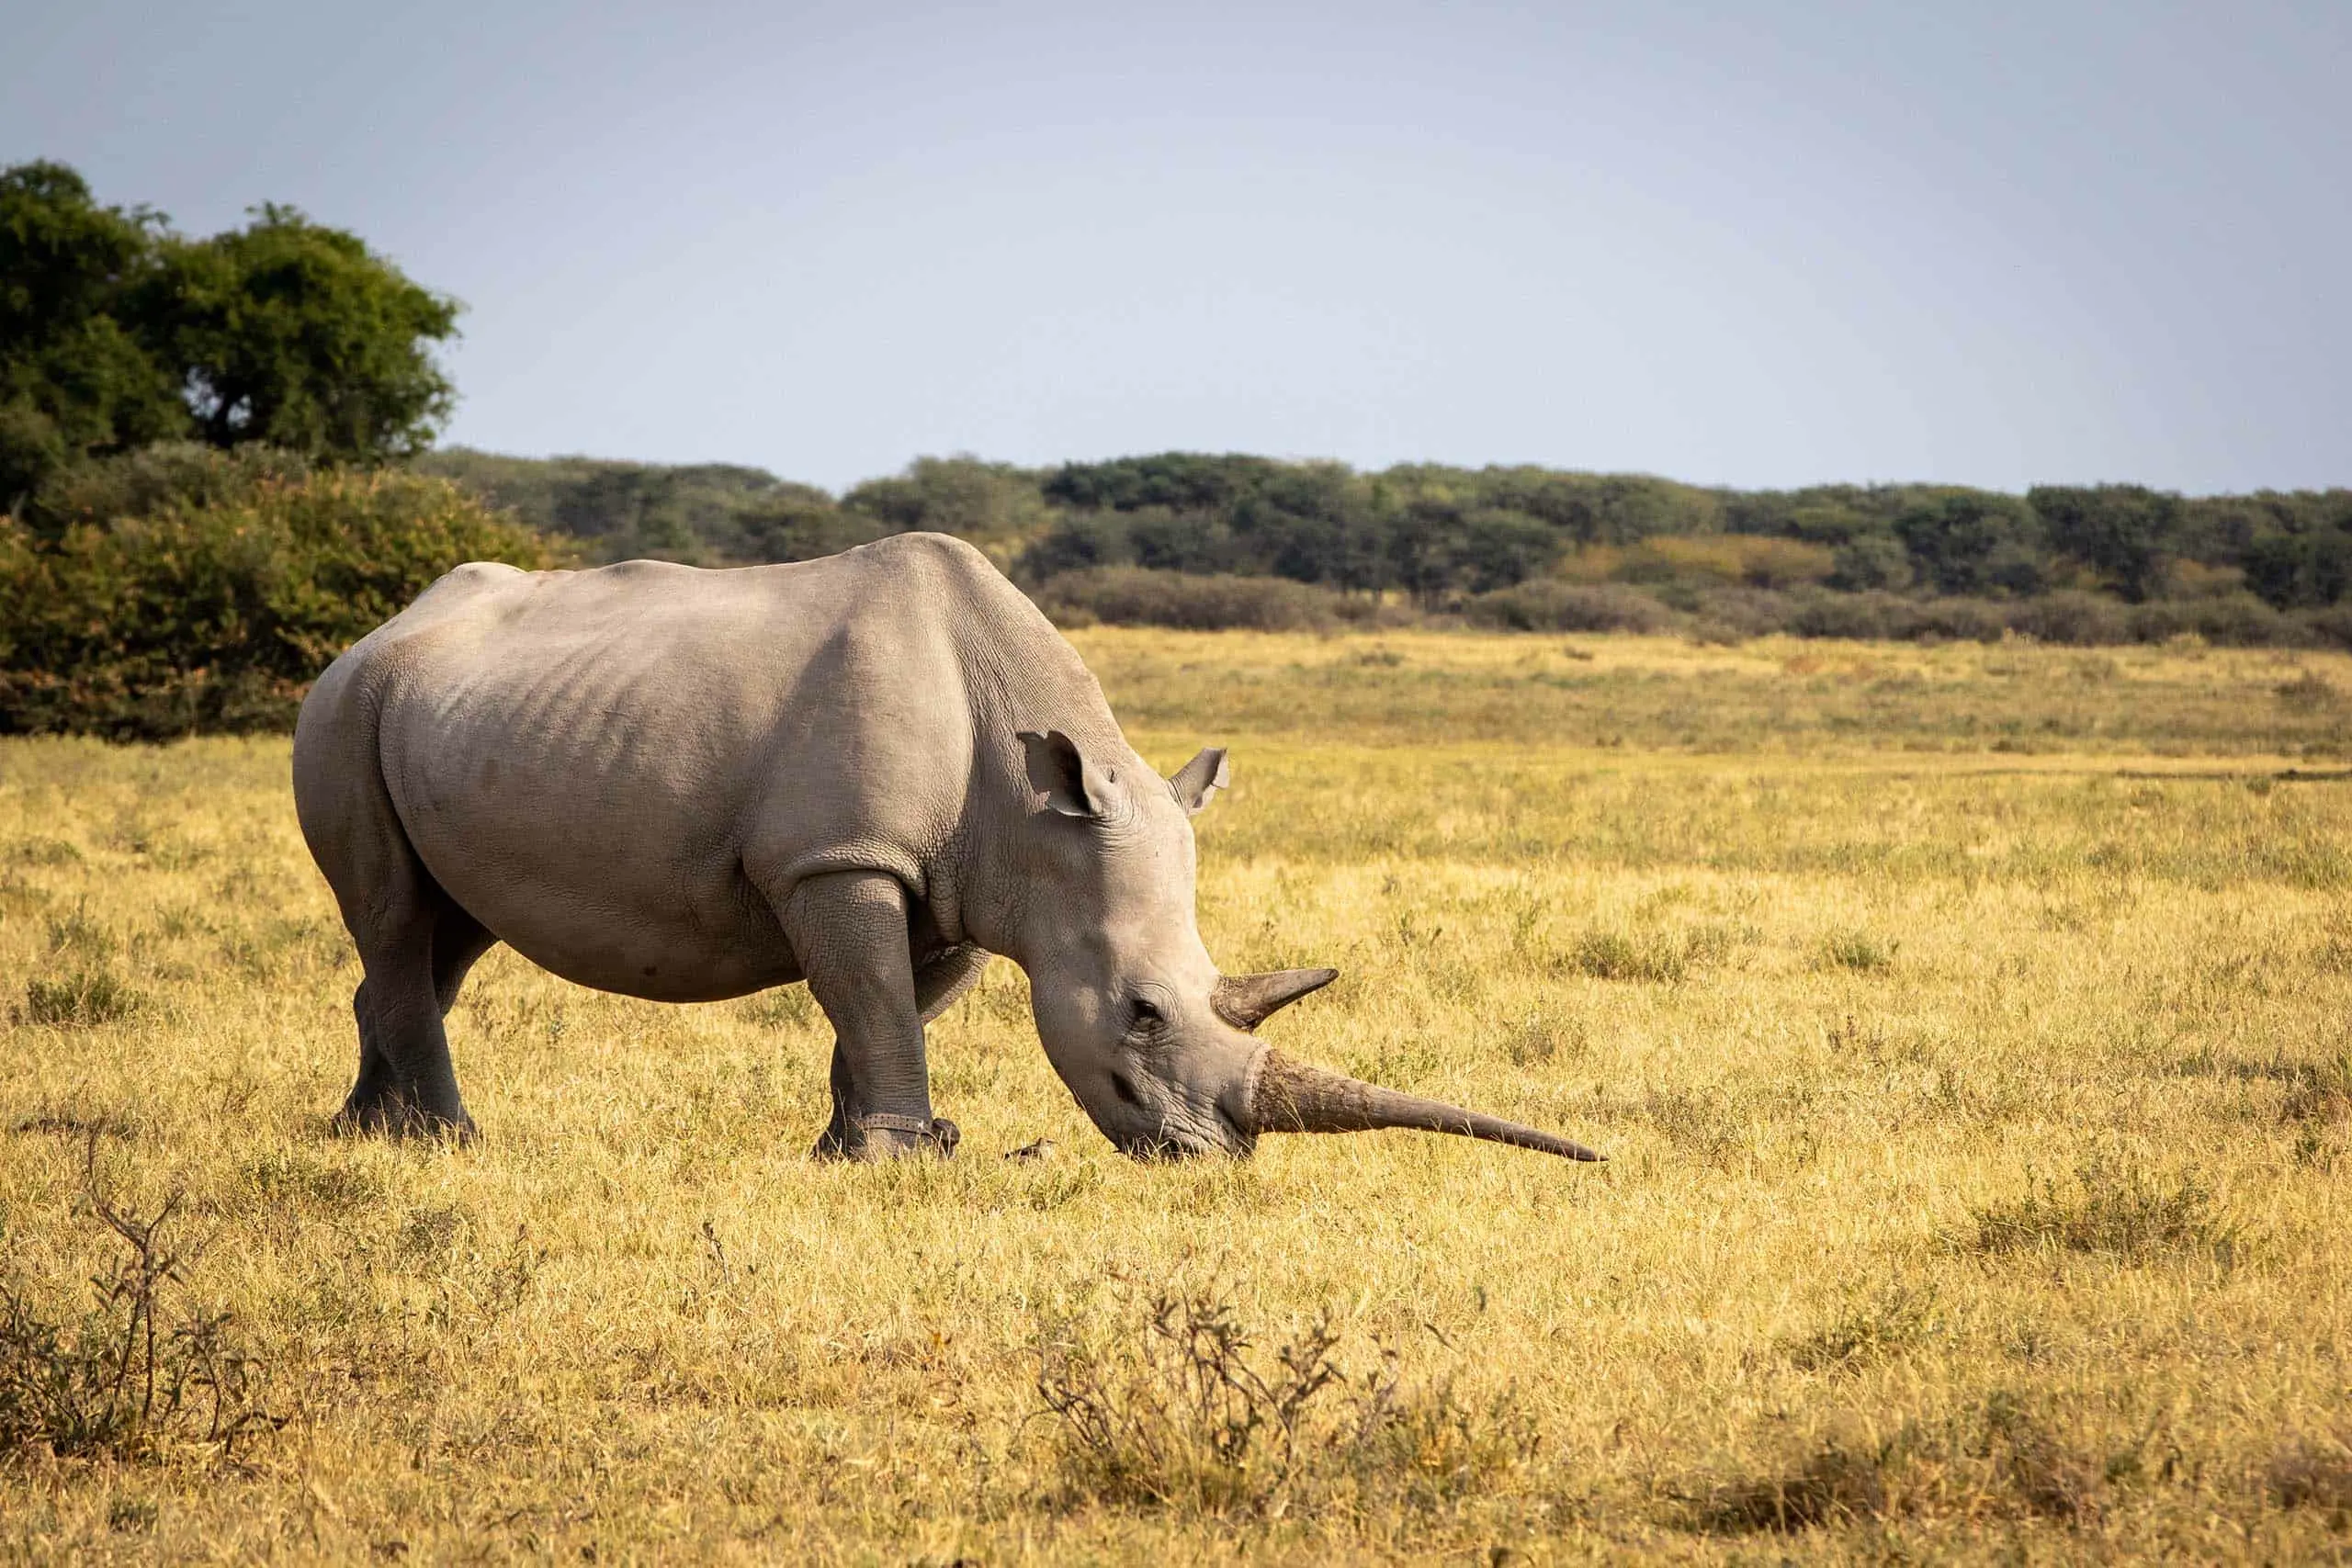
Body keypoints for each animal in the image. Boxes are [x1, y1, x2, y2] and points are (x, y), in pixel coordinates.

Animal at [288, 533, 1599, 1161]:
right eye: (1140, 1015)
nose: (1213, 1156)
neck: (1032, 818)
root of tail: (379, 628)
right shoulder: (842, 855)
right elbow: (868, 996)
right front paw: (896, 1159)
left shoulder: (968, 881)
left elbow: (886, 1007)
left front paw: (860, 1145)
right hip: (343, 711)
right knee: (398, 916)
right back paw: (449, 1143)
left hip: (443, 711)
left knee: (445, 931)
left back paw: (368, 1138)